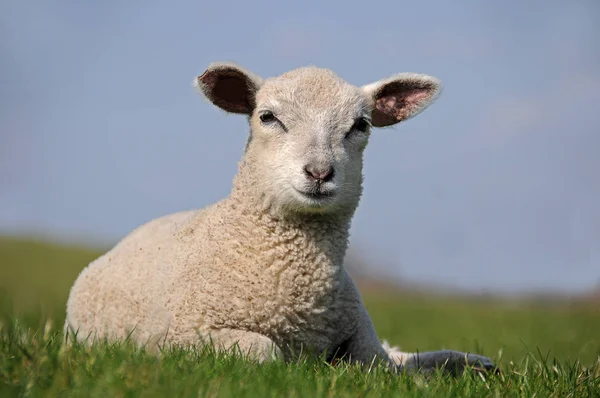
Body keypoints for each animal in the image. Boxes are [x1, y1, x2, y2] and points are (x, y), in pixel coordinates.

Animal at [64, 61, 496, 374]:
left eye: (361, 124)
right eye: (268, 117)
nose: (320, 173)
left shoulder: (365, 341)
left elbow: (381, 367)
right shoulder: (186, 333)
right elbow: (265, 350)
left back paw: (477, 363)